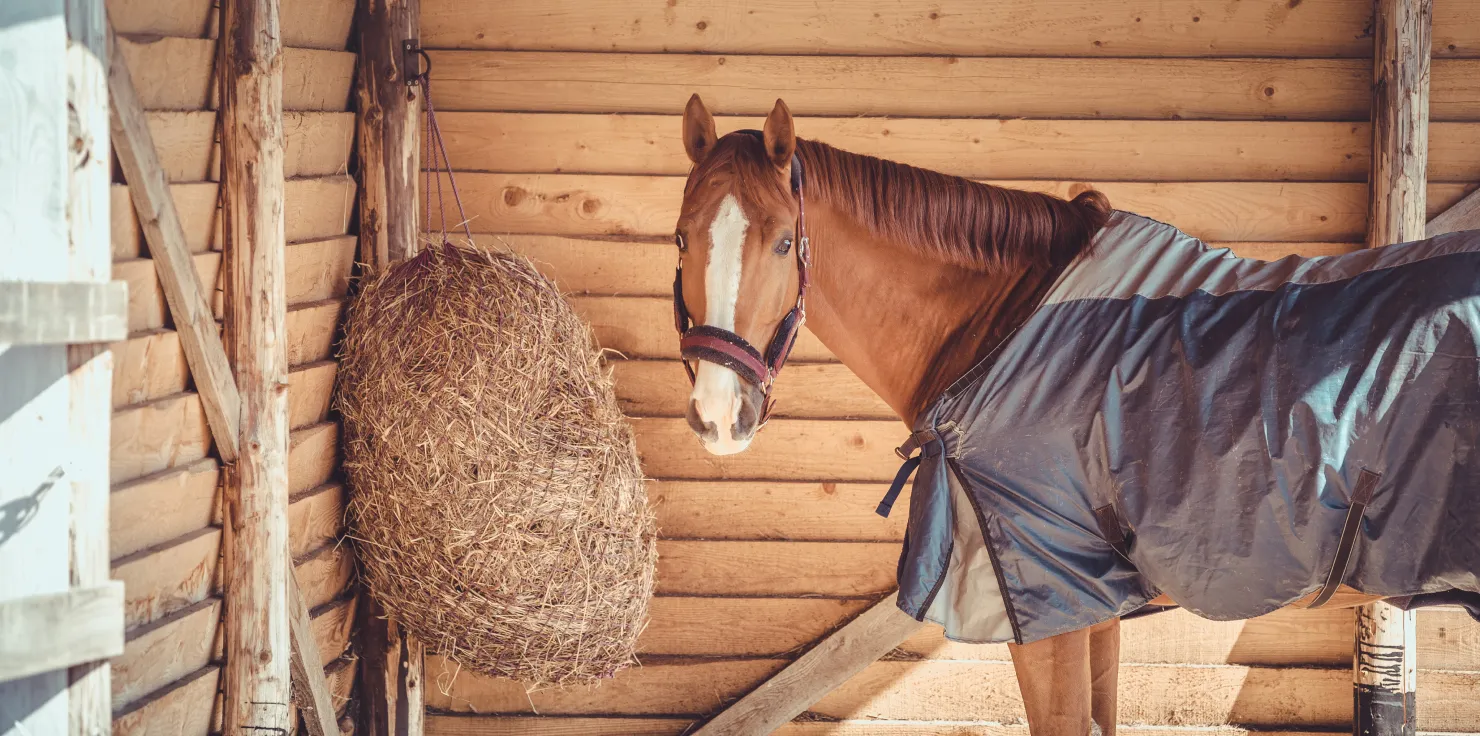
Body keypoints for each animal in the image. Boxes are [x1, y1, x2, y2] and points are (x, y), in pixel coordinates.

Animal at [670, 93, 1480, 735]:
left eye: (783, 241)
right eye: (680, 236)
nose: (719, 416)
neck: (1008, 331)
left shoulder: (1047, 599)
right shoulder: (1092, 601)